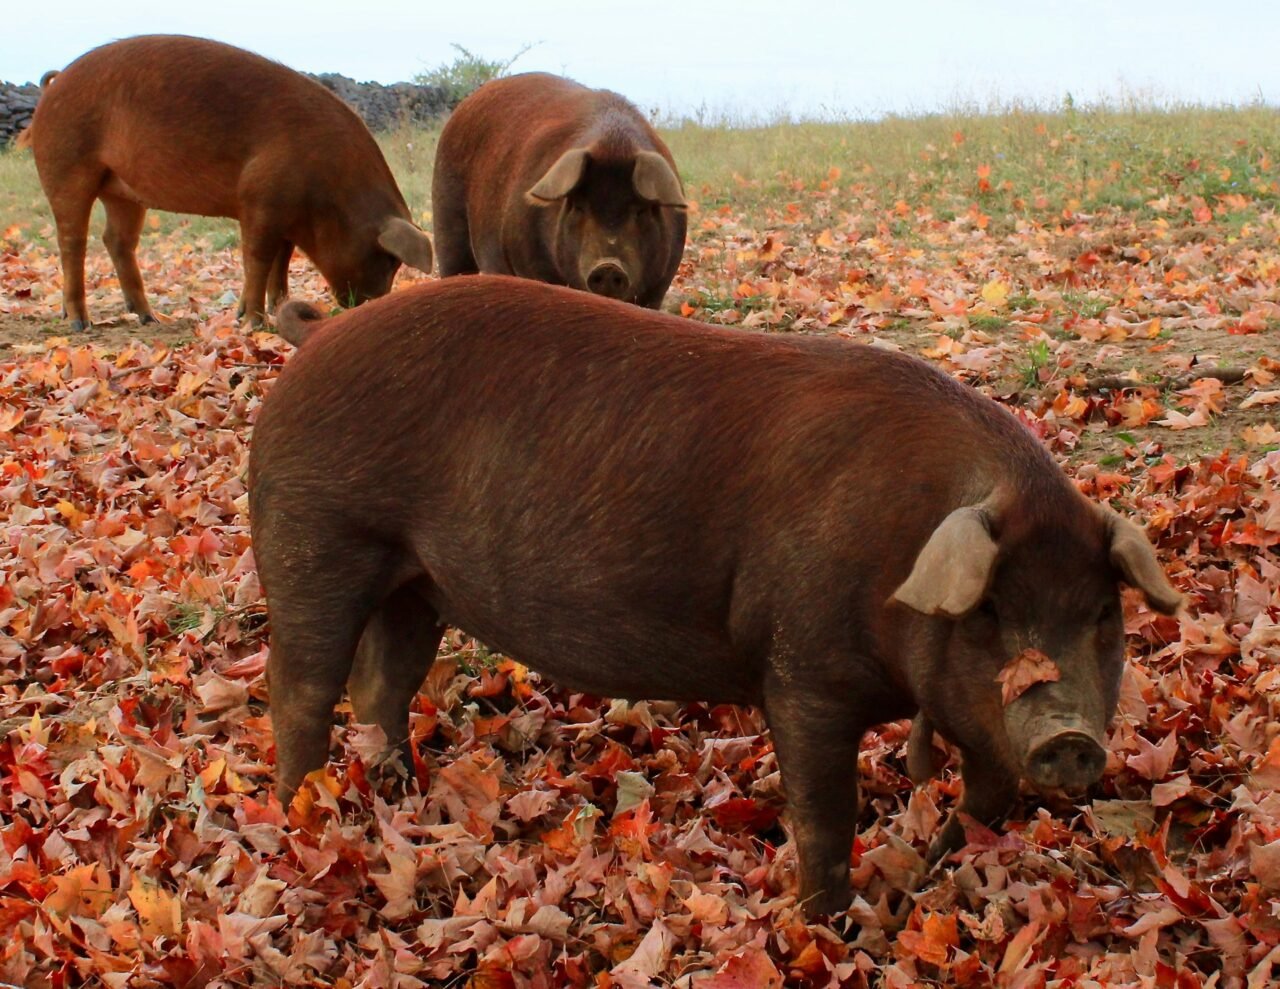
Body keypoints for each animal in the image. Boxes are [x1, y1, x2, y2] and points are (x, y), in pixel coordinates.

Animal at [26, 35, 433, 330]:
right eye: (388, 260)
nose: (370, 304)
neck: (332, 189)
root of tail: (55, 83)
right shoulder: (260, 200)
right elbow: (257, 258)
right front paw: (253, 322)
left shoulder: (283, 216)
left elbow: (280, 262)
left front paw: (273, 307)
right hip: (66, 165)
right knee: (72, 241)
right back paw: (80, 323)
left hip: (123, 191)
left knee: (116, 240)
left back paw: (150, 318)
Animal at [249, 276, 1182, 917]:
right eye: (989, 610)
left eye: (1103, 615)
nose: (1070, 737)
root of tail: (317, 337)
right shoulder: (802, 670)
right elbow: (823, 812)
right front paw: (828, 922)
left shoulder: (970, 711)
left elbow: (985, 796)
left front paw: (922, 875)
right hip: (315, 534)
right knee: (301, 688)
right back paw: (302, 818)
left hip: (417, 579)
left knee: (382, 683)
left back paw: (395, 792)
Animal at [431, 73, 686, 308]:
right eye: (580, 206)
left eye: (641, 210)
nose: (608, 266)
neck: (614, 145)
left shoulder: (657, 288)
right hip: (446, 216)